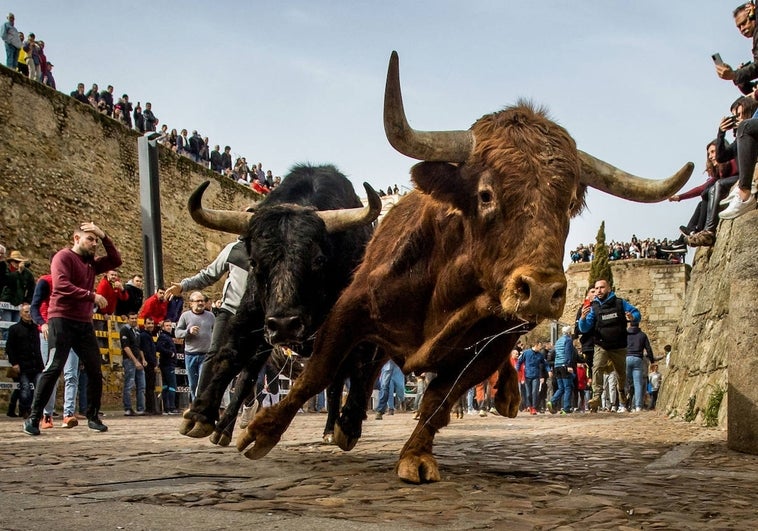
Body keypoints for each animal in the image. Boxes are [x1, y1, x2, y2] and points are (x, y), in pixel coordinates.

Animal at [180, 165, 382, 444]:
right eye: (254, 262)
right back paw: (224, 428)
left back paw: (331, 429)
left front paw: (350, 423)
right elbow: (231, 355)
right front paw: (201, 413)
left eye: (318, 260)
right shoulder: (252, 315)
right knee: (249, 375)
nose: (285, 325)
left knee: (336, 382)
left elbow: (359, 366)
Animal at [238, 53, 696, 482]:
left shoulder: (491, 347)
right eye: (486, 194)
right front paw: (261, 431)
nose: (542, 290)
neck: (447, 292)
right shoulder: (350, 308)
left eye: (568, 203)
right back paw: (346, 425)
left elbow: (438, 400)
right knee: (365, 369)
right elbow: (317, 373)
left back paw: (505, 397)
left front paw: (416, 454)